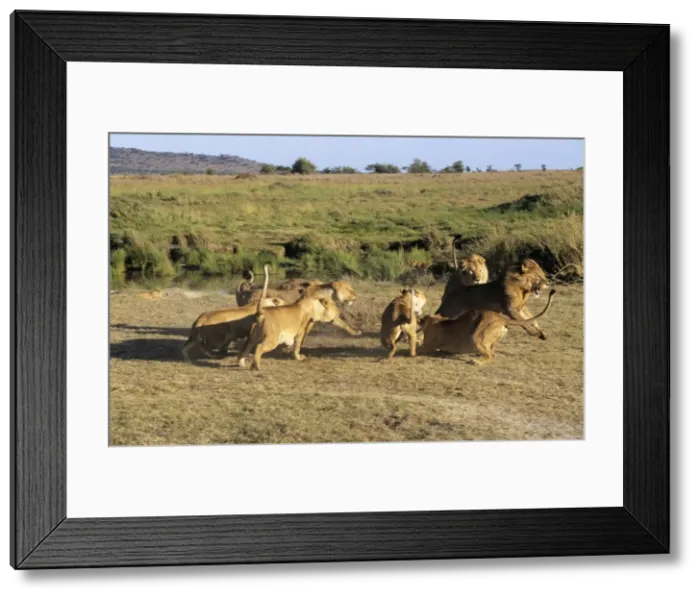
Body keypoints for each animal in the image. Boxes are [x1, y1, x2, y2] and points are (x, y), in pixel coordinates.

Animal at [419, 289, 556, 365]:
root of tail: (500, 317)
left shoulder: (427, 346)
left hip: (476, 336)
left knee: (490, 356)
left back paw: (477, 362)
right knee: (493, 354)